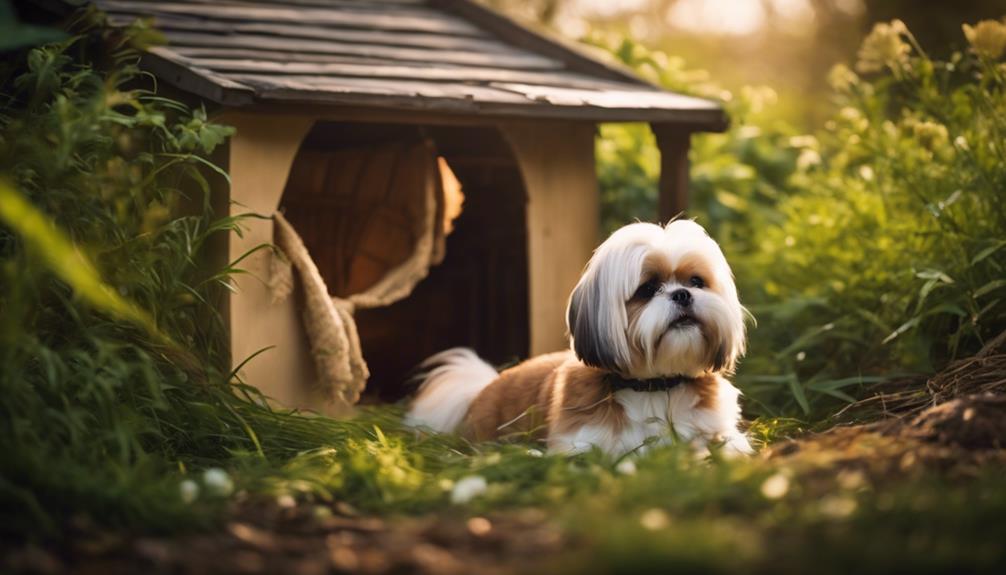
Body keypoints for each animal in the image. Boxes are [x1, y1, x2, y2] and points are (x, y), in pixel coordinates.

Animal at [404, 220, 752, 458]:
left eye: (697, 281)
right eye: (648, 289)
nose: (682, 294)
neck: (656, 386)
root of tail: (481, 390)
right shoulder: (582, 444)